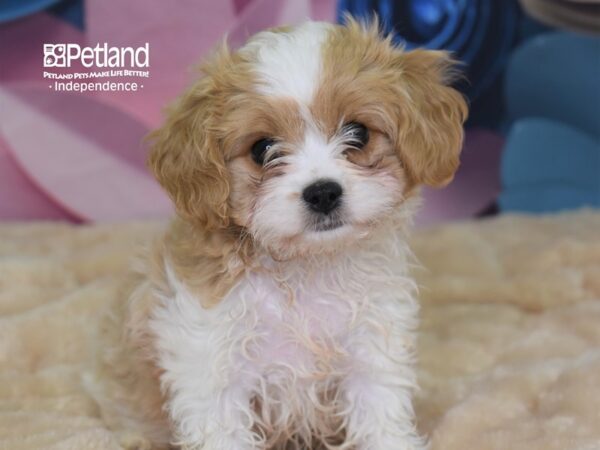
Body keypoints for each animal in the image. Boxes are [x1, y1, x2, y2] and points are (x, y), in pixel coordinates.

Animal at [95, 16, 468, 450]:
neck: (305, 270)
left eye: (357, 133)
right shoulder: (210, 369)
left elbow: (381, 419)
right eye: (262, 149)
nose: (322, 192)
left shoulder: (372, 352)